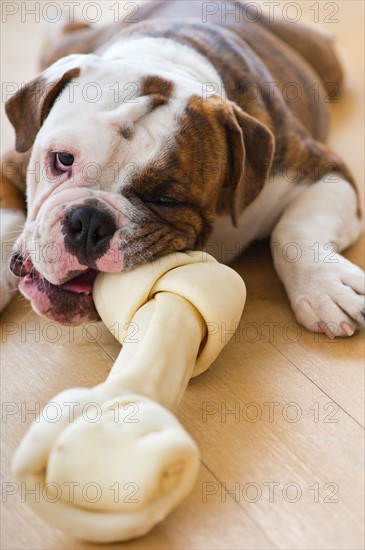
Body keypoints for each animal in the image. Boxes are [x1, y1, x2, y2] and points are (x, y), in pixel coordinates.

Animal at [1, 0, 362, 336]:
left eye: (166, 200)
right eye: (62, 159)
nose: (89, 221)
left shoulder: (318, 169)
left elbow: (295, 230)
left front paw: (325, 288)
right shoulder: (10, 163)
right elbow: (7, 217)